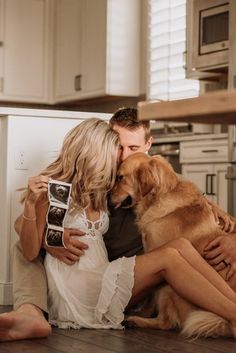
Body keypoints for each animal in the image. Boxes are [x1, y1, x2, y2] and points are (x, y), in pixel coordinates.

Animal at [111, 152, 236, 338]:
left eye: (120, 178)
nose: (107, 197)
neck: (161, 195)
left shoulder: (157, 251)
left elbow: (152, 296)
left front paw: (142, 313)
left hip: (169, 287)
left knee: (166, 323)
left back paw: (136, 320)